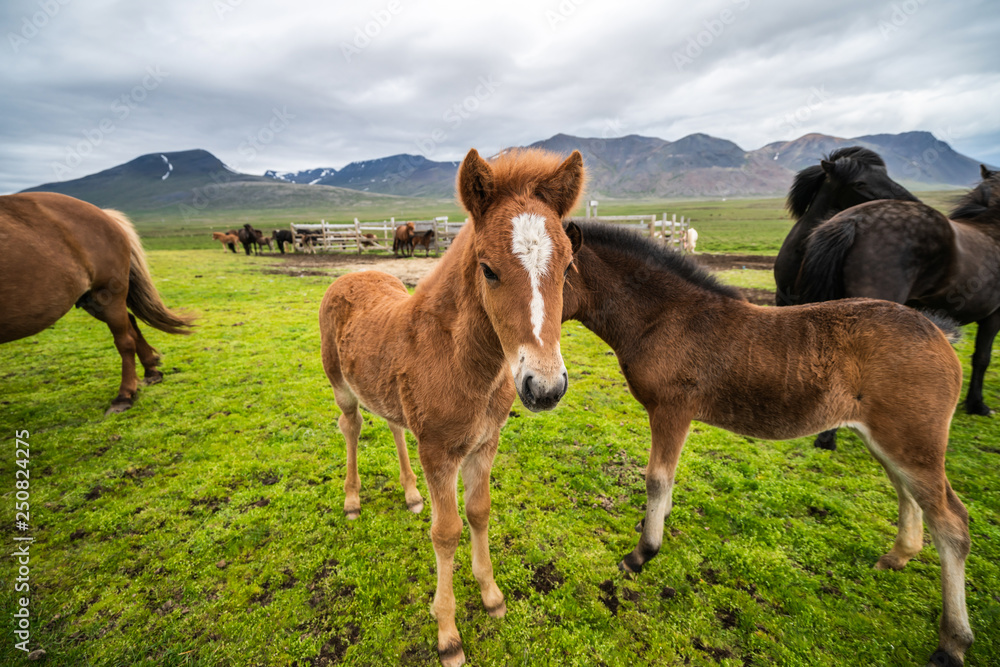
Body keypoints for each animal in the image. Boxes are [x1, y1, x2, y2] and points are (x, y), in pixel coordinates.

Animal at [0, 190, 193, 414]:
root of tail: (104, 214)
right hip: (92, 301)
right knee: (131, 323)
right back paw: (151, 372)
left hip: (105, 296)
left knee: (125, 340)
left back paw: (124, 396)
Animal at [320, 147, 584, 667]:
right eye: (488, 269)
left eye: (567, 268)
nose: (544, 387)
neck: (465, 364)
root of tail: (354, 272)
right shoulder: (439, 452)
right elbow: (446, 532)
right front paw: (448, 633)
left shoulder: (484, 443)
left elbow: (479, 512)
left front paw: (492, 596)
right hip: (341, 386)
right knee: (351, 427)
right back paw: (353, 500)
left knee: (393, 426)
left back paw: (410, 494)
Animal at [564, 223, 976, 667]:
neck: (665, 318)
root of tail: (938, 333)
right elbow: (668, 479)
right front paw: (653, 523)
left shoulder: (671, 409)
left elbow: (657, 479)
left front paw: (642, 553)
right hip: (888, 440)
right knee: (908, 494)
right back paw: (899, 555)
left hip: (914, 442)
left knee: (951, 523)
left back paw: (953, 641)